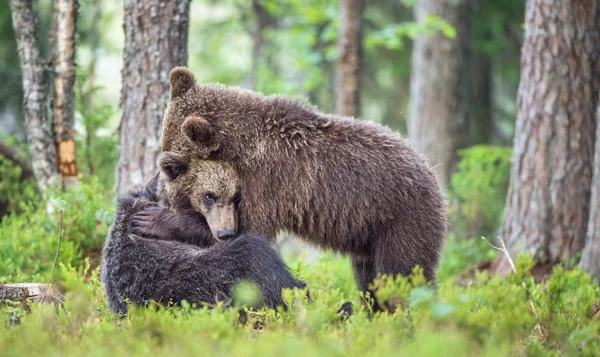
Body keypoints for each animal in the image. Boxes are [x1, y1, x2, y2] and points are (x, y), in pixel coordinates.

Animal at [162, 67, 448, 312]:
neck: (241, 148)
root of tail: (431, 171)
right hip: (369, 234)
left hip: (402, 218)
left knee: (403, 272)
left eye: (176, 162)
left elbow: (248, 232)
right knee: (370, 278)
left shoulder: (266, 184)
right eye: (164, 144)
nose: (164, 193)